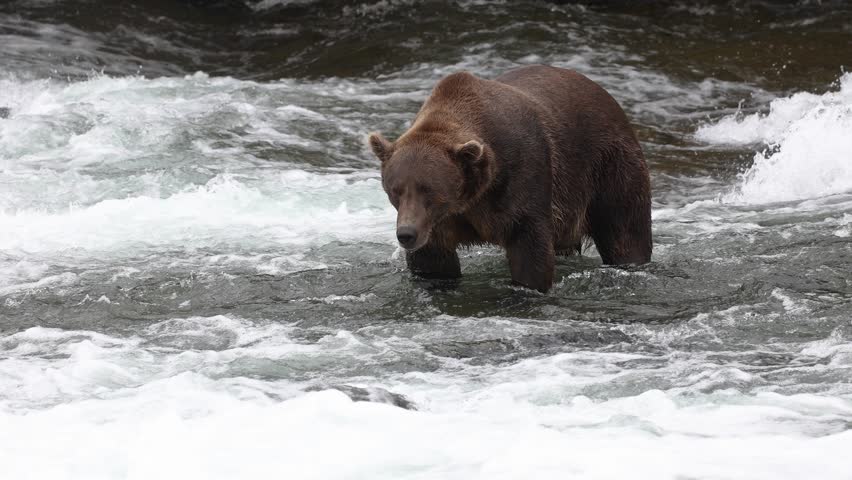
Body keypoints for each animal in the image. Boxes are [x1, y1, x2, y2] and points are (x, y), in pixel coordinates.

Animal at [368, 65, 651, 293]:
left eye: (429, 190)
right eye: (395, 191)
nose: (406, 234)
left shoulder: (523, 180)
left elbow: (530, 252)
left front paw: (526, 287)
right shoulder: (438, 224)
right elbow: (432, 262)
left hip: (608, 167)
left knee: (625, 231)